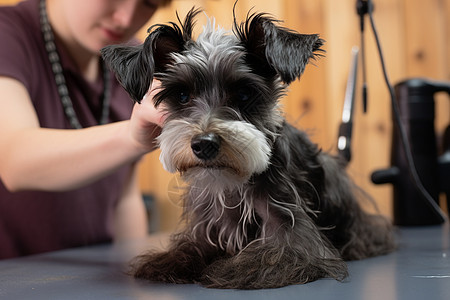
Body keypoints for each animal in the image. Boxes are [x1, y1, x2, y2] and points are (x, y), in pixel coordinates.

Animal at [101, 7, 394, 290]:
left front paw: (231, 269)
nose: (204, 144)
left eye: (243, 94)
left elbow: (271, 256)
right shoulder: (206, 226)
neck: (232, 185)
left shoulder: (291, 230)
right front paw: (170, 262)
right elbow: (189, 248)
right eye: (182, 95)